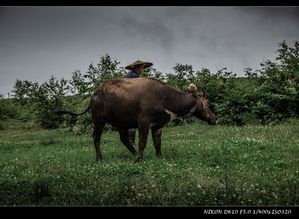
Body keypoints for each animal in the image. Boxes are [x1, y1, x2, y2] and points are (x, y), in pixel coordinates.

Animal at [59, 78, 217, 162]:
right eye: (207, 103)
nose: (214, 118)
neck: (165, 98)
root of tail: (95, 93)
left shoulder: (158, 126)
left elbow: (157, 143)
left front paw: (160, 156)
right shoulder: (143, 122)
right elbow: (143, 141)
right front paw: (140, 159)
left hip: (120, 122)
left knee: (124, 138)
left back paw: (133, 154)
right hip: (98, 119)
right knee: (96, 137)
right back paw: (100, 158)